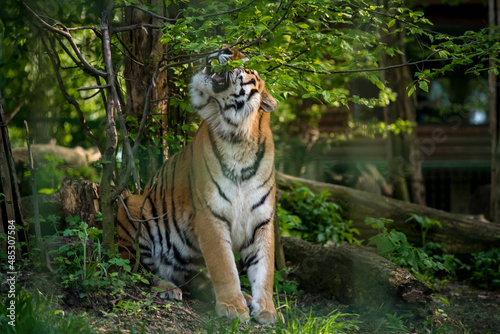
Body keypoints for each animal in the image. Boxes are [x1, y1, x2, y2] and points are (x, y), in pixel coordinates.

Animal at [117, 48, 280, 324]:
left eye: (247, 65)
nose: (224, 48)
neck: (238, 138)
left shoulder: (261, 220)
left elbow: (264, 270)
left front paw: (266, 311)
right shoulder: (210, 215)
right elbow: (224, 267)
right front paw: (233, 307)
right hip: (132, 206)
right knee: (139, 271)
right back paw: (168, 289)